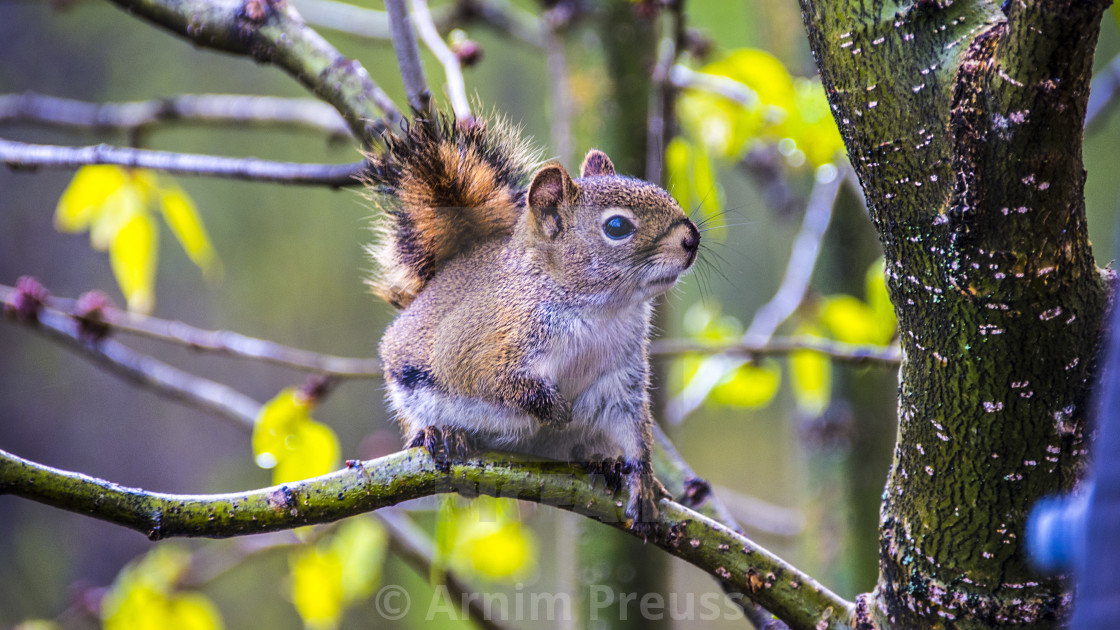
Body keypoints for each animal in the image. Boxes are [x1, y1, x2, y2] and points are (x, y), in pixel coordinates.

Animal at [367, 115, 698, 526]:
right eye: (617, 227)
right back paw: (438, 434)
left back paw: (602, 461)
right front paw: (553, 409)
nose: (692, 239)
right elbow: (495, 381)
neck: (601, 310)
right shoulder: (481, 344)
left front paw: (644, 480)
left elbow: (634, 430)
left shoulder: (622, 378)